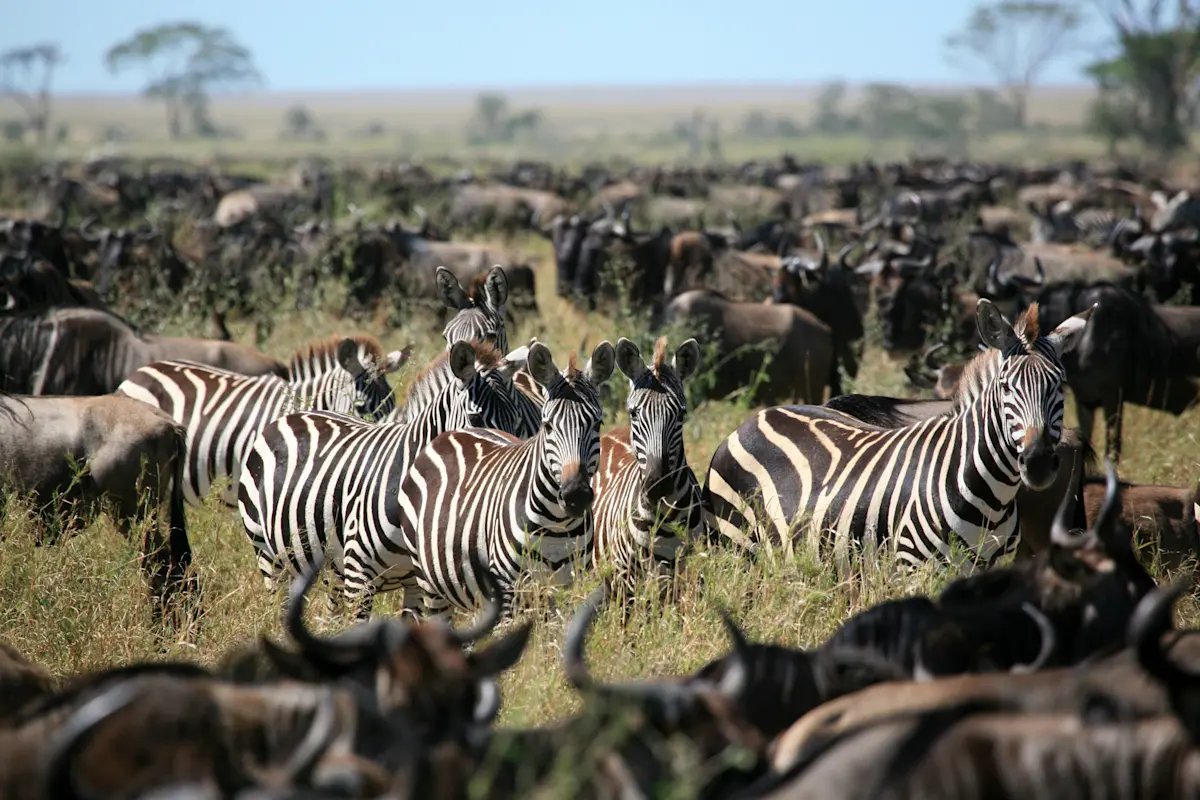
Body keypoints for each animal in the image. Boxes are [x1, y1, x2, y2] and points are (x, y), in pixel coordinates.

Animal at [237, 339, 529, 618]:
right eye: (475, 417)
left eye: (516, 421)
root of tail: (292, 415)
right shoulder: (359, 577)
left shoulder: (416, 582)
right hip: (268, 553)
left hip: (329, 566)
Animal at [396, 341, 616, 614]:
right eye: (547, 425)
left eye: (598, 424)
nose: (576, 495)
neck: (557, 524)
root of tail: (449, 434)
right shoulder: (508, 590)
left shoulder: (566, 591)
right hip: (429, 582)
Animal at [703, 299, 1095, 569]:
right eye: (1005, 387)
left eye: (1059, 385)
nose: (1039, 462)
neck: (992, 499)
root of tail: (758, 417)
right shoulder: (912, 567)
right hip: (739, 546)